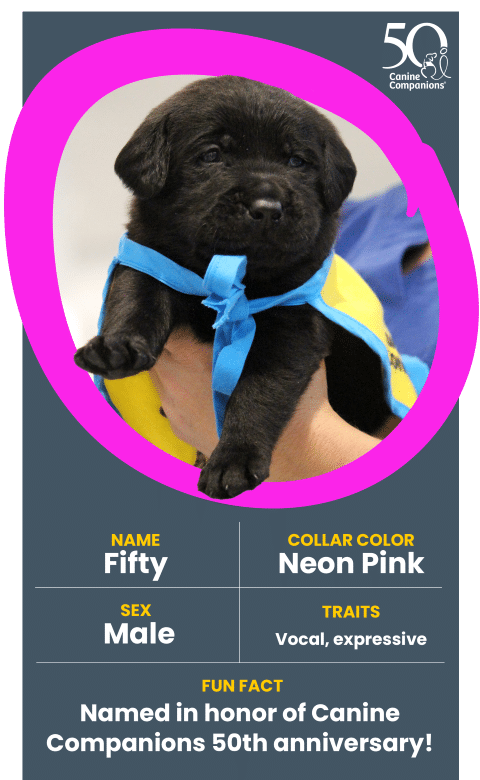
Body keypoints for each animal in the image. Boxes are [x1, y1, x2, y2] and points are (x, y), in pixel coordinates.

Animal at [75, 76, 390, 496]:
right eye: (211, 154)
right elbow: (135, 299)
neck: (230, 279)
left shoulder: (292, 324)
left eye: (296, 161)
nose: (268, 207)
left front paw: (234, 460)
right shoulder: (149, 259)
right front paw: (117, 347)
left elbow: (257, 391)